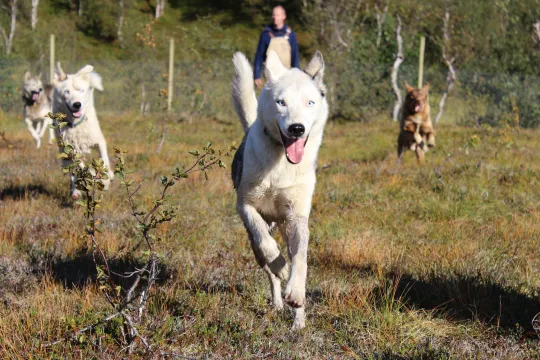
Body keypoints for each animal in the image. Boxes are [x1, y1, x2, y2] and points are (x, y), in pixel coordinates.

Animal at [52, 63, 113, 201]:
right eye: (67, 92)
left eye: (81, 91)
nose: (77, 104)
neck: (76, 125)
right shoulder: (71, 152)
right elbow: (81, 167)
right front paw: (92, 174)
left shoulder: (99, 141)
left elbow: (104, 160)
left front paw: (106, 180)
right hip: (64, 156)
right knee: (73, 174)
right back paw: (75, 192)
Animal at [231, 50, 330, 330]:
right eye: (281, 102)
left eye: (310, 103)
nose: (297, 128)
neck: (281, 165)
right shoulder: (245, 205)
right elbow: (265, 241)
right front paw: (281, 266)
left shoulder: (297, 217)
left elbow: (301, 260)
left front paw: (295, 293)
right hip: (255, 246)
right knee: (269, 271)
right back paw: (276, 301)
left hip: (286, 227)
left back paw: (298, 322)